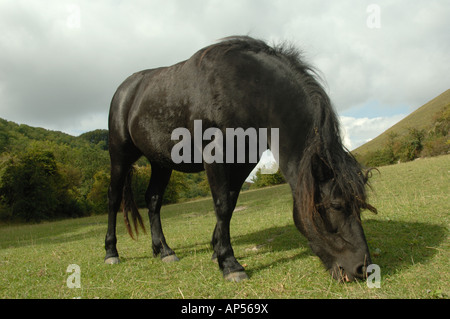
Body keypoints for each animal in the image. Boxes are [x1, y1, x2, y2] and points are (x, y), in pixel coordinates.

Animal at [105, 37, 376, 282]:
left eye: (360, 205)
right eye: (335, 205)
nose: (363, 269)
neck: (247, 89)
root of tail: (125, 89)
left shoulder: (244, 159)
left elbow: (231, 202)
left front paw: (216, 250)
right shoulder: (216, 155)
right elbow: (222, 204)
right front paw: (230, 264)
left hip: (160, 162)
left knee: (153, 200)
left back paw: (163, 250)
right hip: (120, 155)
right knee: (114, 198)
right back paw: (111, 252)